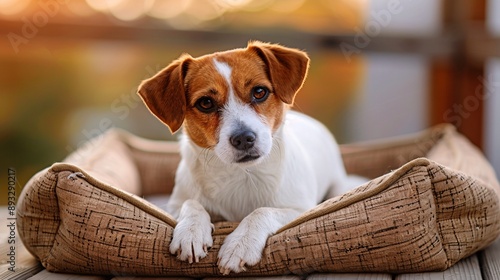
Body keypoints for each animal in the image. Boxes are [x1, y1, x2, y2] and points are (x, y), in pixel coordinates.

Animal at [139, 41, 362, 276]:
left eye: (259, 92)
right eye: (206, 103)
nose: (244, 138)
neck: (241, 175)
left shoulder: (301, 210)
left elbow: (261, 211)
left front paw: (240, 244)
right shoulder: (173, 205)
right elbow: (191, 203)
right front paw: (191, 231)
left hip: (339, 186)